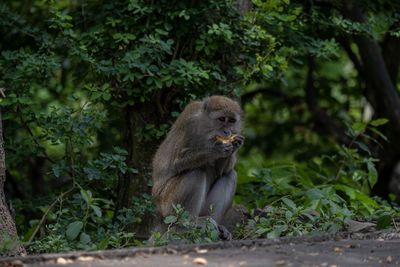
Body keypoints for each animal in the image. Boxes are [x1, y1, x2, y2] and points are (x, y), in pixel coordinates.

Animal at [150, 96, 244, 241]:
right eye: (222, 119)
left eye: (232, 121)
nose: (227, 132)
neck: (206, 127)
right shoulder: (189, 124)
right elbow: (177, 162)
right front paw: (214, 150)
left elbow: (222, 171)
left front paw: (235, 145)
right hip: (167, 206)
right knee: (195, 173)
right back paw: (188, 223)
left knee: (230, 176)